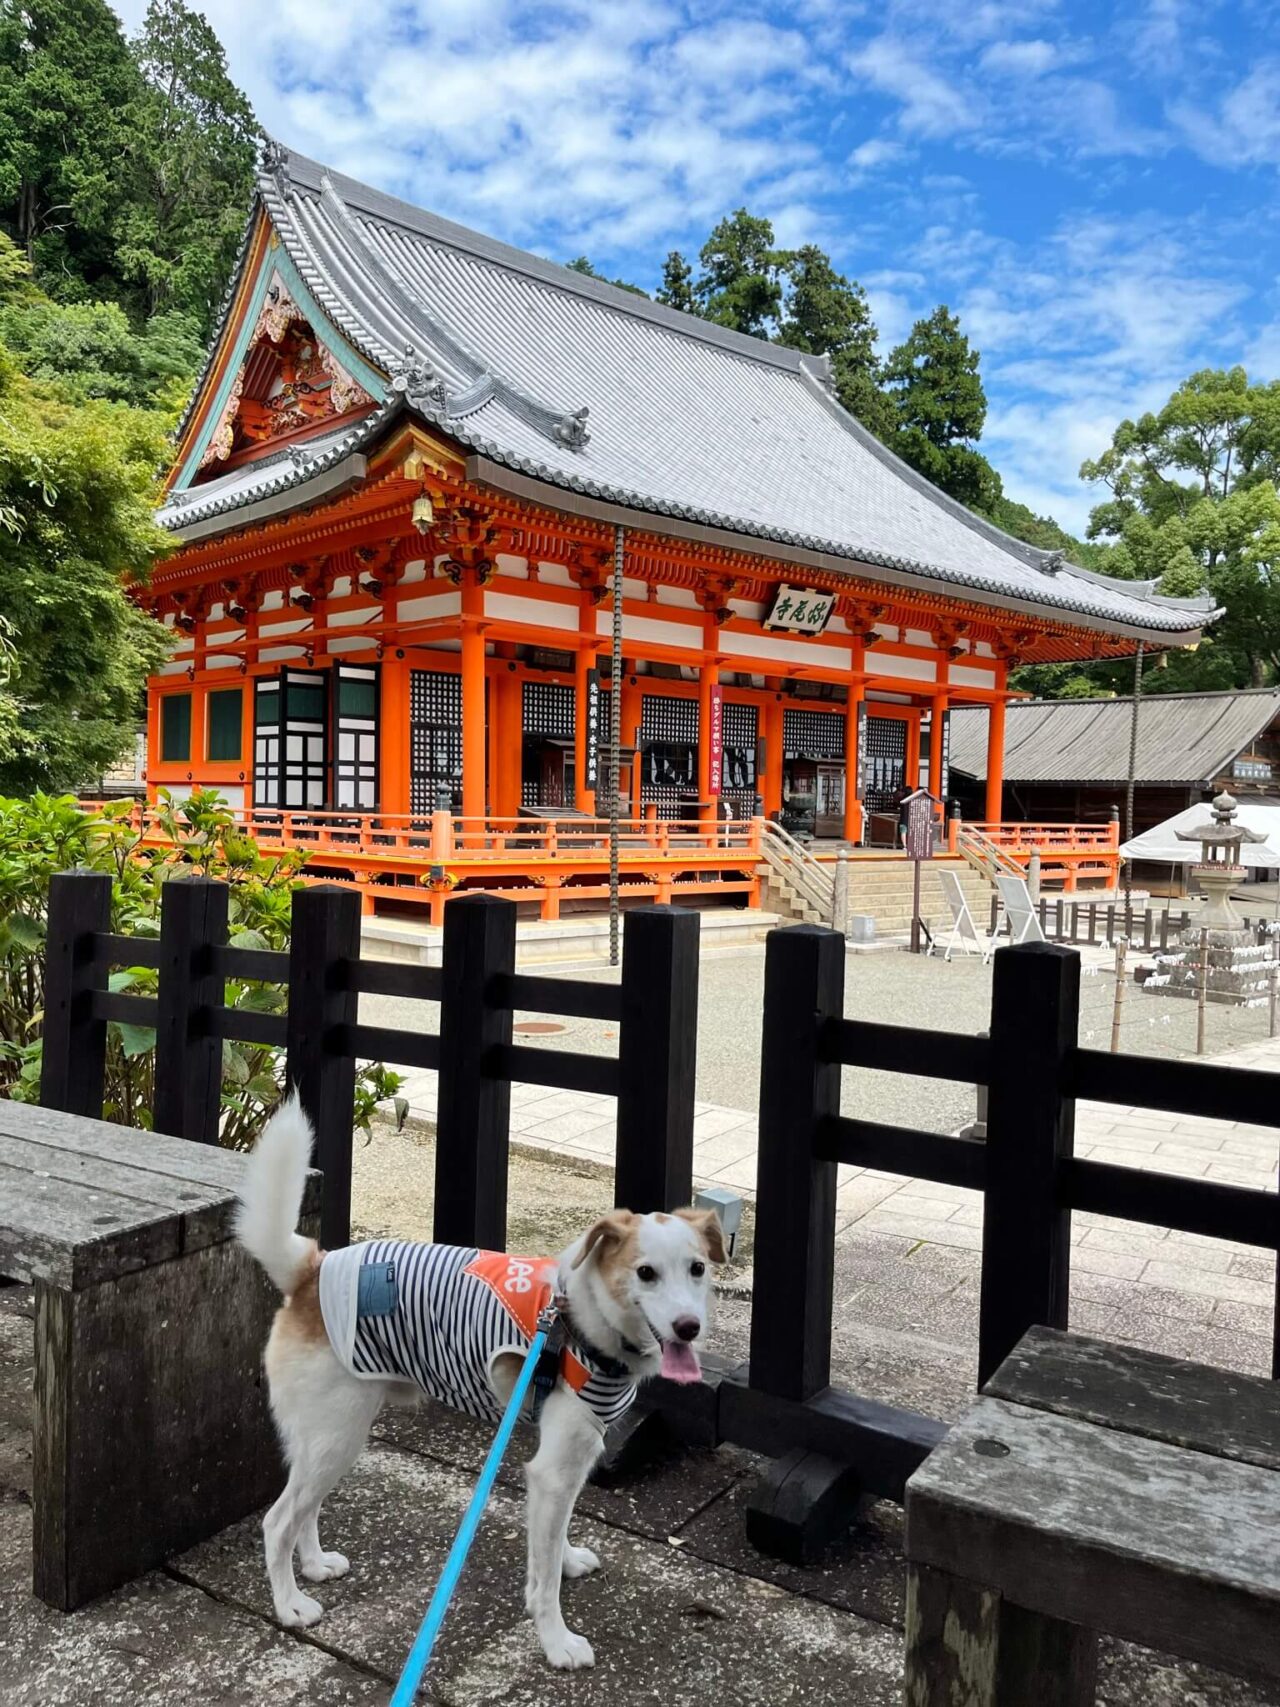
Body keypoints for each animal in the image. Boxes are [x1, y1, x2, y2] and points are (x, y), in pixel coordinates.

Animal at [235, 1092, 727, 1666]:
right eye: (645, 1273)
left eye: (697, 1269)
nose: (688, 1327)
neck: (584, 1318)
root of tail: (310, 1269)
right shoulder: (555, 1468)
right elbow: (542, 1580)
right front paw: (557, 1641)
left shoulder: (573, 1461)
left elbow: (555, 1537)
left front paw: (566, 1560)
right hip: (337, 1433)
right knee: (278, 1521)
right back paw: (290, 1604)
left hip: (326, 1436)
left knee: (304, 1508)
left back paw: (314, 1566)